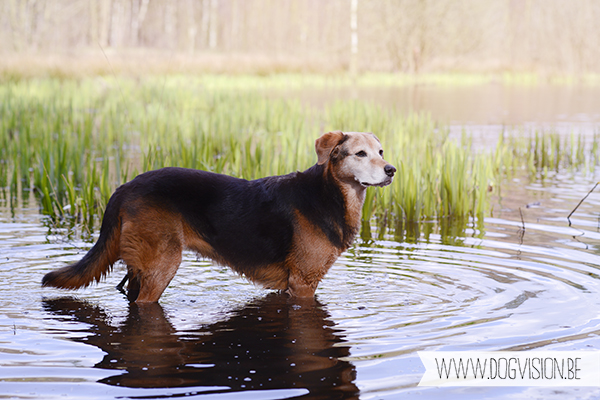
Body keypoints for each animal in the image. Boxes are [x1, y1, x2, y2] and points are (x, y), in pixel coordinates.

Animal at [43, 132, 398, 304]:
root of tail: (125, 187)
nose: (391, 170)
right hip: (162, 264)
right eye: (360, 154)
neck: (329, 194)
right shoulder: (302, 285)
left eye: (381, 152)